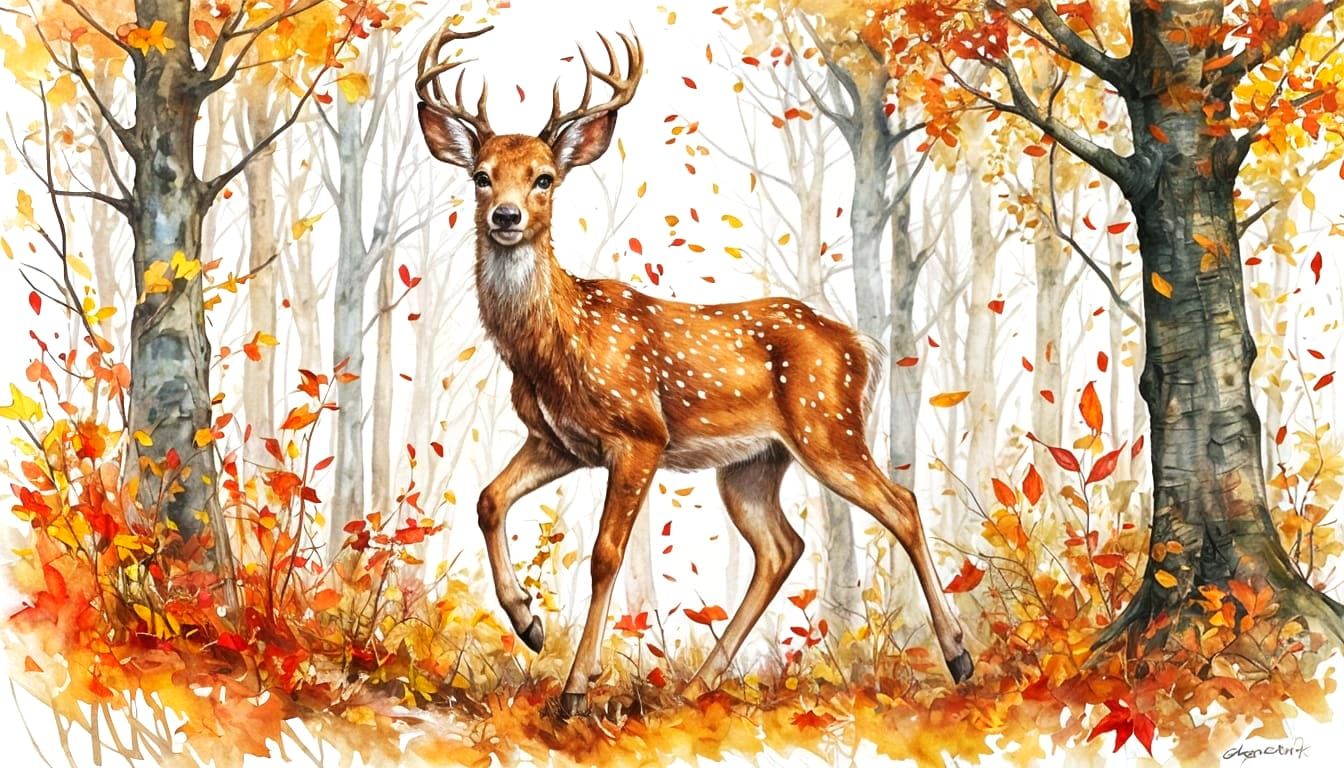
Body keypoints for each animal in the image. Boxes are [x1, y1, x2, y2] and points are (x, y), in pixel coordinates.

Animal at [414, 20, 973, 717]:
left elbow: (605, 555)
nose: (506, 216)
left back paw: (959, 654)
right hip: (753, 463)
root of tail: (859, 345)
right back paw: (698, 683)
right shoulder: (557, 441)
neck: (557, 346)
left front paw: (575, 689)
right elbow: (489, 499)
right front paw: (529, 622)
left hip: (827, 426)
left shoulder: (639, 435)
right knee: (782, 546)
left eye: (544, 178)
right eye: (480, 176)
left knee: (901, 503)